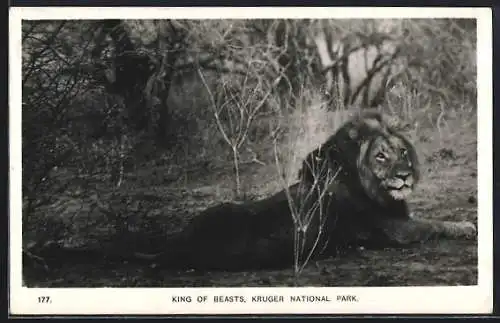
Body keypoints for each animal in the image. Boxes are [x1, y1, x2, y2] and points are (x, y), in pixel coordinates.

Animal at [136, 111, 476, 270]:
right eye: (381, 156)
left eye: (402, 152)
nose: (404, 176)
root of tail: (178, 244)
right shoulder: (394, 230)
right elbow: (435, 223)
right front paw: (467, 225)